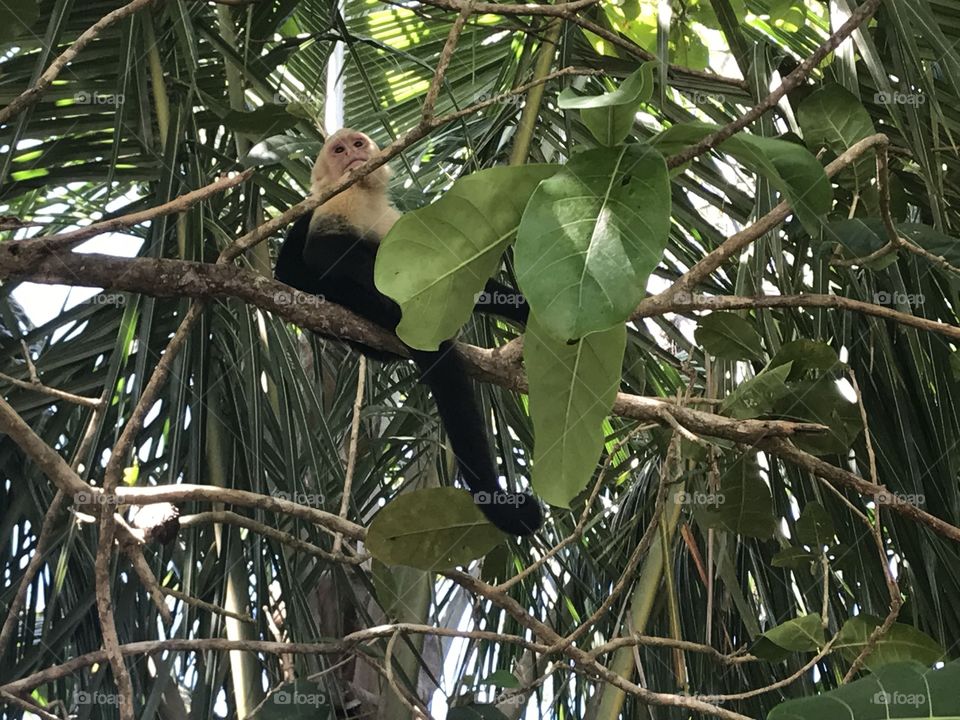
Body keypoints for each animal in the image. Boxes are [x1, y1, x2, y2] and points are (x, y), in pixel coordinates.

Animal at [274, 128, 543, 536]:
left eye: (358, 144)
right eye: (338, 150)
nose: (352, 154)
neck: (364, 193)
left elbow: (435, 273)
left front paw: (521, 307)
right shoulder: (337, 200)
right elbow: (322, 255)